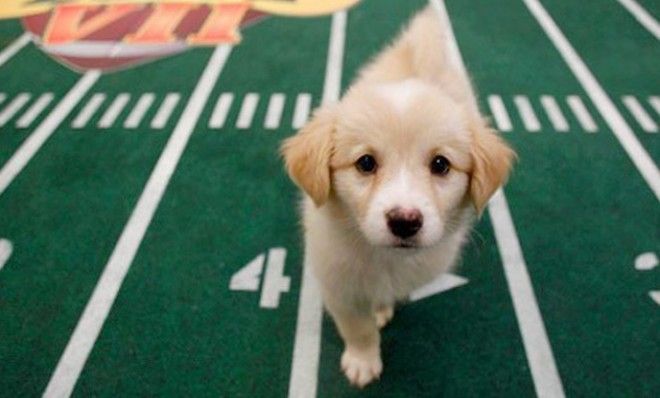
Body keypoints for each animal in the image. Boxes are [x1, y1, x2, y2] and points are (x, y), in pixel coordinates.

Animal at [278, 4, 516, 388]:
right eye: (365, 163)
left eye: (440, 164)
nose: (405, 222)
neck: (384, 258)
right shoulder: (338, 286)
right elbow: (357, 328)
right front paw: (363, 361)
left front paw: (380, 311)